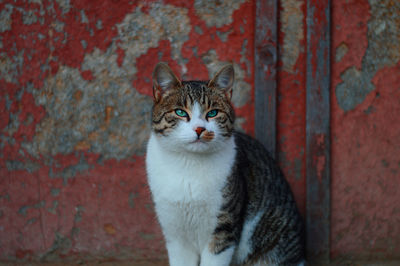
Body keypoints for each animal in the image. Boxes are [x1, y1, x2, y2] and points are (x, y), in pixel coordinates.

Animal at [145, 62, 304, 266]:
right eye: (180, 112)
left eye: (213, 113)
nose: (200, 129)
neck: (189, 164)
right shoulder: (175, 231)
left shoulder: (224, 227)